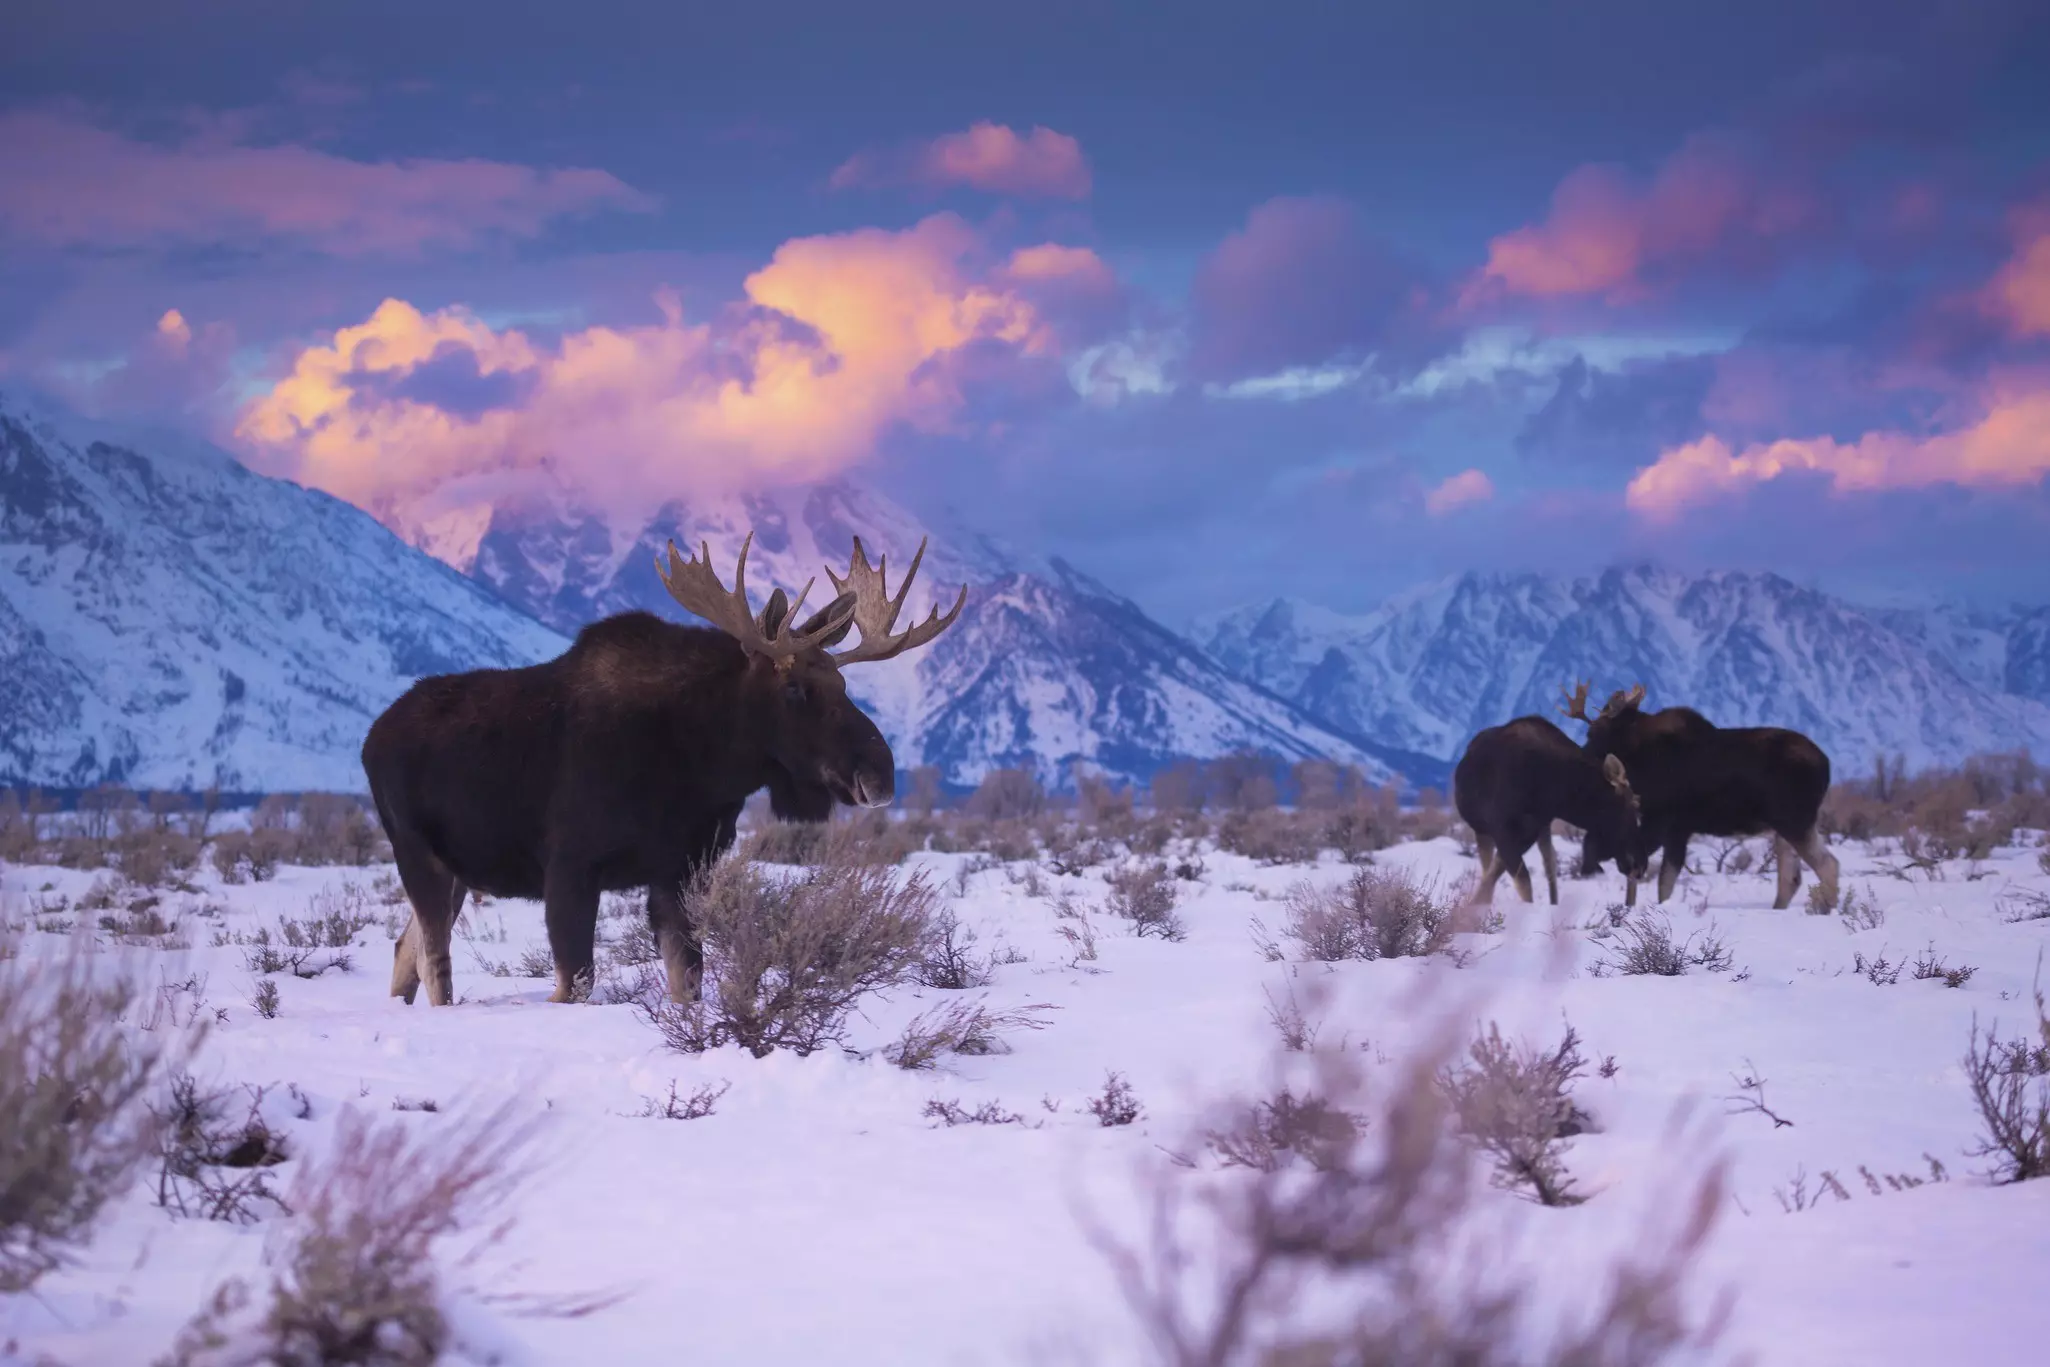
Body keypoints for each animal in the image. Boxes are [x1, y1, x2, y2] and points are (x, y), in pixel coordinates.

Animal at [361, 533, 965, 1008]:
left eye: (842, 684)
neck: (703, 767)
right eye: (795, 688)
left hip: (457, 869)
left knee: (405, 948)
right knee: (435, 962)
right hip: (415, 852)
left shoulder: (684, 870)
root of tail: (371, 738)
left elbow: (688, 981)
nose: (881, 772)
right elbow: (574, 983)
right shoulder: (570, 867)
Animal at [1452, 715, 1646, 905]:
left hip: (1538, 830)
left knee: (1548, 866)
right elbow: (1521, 881)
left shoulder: (1531, 830)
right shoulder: (1501, 829)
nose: (1641, 864)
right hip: (1481, 830)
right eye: (1635, 804)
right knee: (1489, 867)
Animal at [1561, 682, 1839, 910]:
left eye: (1592, 733)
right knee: (1791, 877)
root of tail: (1826, 764)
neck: (1638, 757)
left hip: (1795, 820)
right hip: (1783, 828)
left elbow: (1658, 879)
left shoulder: (1663, 821)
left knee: (1828, 865)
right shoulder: (1678, 829)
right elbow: (1662, 881)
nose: (1581, 756)